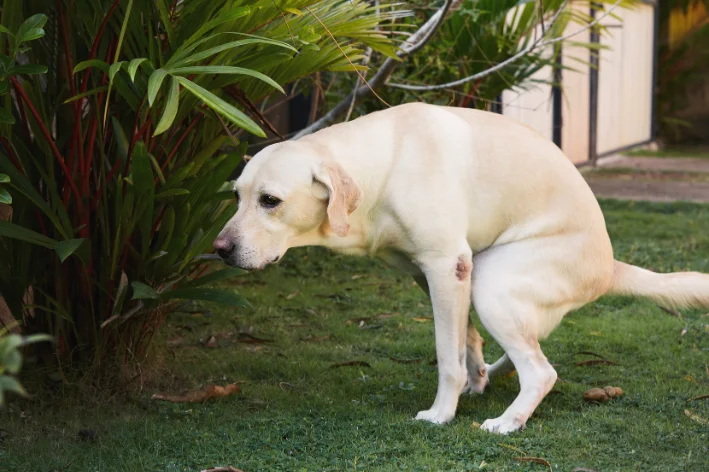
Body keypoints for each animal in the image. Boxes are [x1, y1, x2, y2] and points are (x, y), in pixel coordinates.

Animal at [214, 103, 708, 436]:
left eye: (270, 201)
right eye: (237, 196)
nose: (219, 249)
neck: (386, 165)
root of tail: (609, 267)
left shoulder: (444, 266)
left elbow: (446, 356)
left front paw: (442, 413)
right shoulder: (433, 273)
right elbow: (465, 340)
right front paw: (475, 380)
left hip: (494, 282)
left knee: (542, 371)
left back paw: (509, 421)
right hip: (490, 280)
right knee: (527, 347)